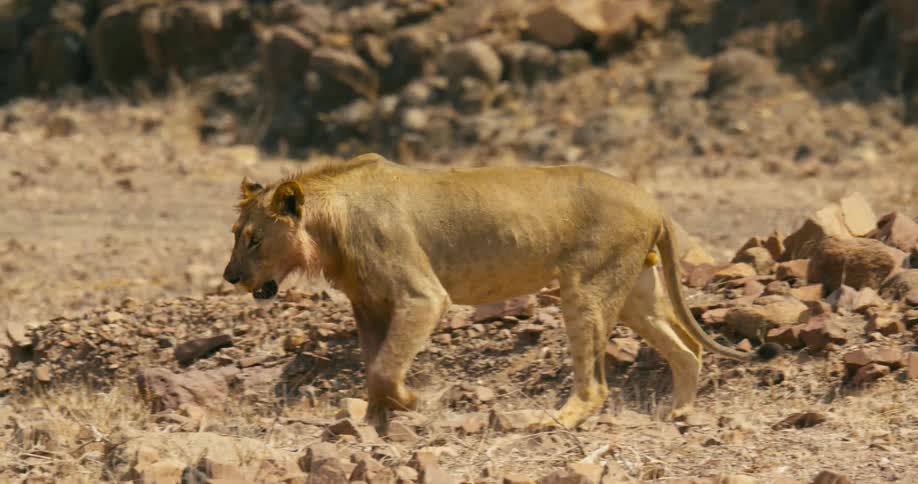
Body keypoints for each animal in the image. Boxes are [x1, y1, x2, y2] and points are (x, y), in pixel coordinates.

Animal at [222, 153, 779, 431]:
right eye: (235, 234)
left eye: (253, 239)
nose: (230, 276)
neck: (327, 226)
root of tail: (652, 201)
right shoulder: (369, 303)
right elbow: (374, 364)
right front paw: (379, 415)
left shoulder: (421, 295)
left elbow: (384, 366)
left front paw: (408, 399)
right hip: (635, 294)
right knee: (686, 350)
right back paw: (681, 412)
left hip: (585, 288)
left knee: (595, 384)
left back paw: (554, 421)